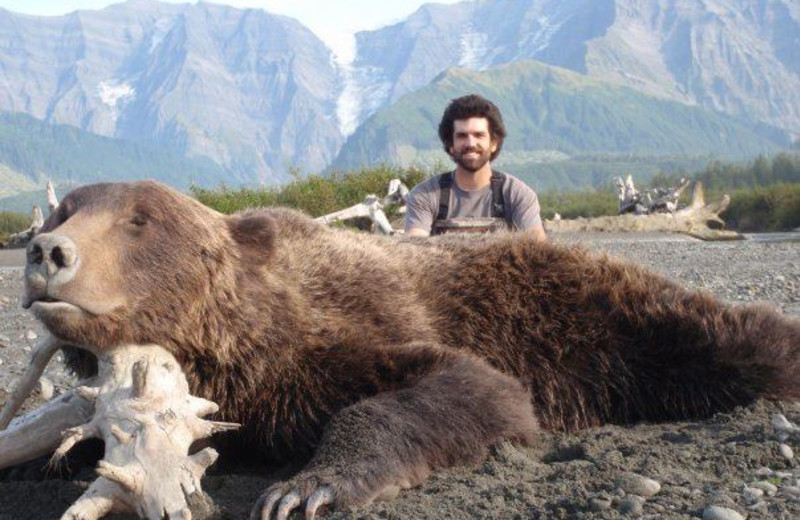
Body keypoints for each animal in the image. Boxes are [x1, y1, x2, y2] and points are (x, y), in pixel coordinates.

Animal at [21, 181, 796, 516]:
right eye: (66, 208)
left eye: (138, 219)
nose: (45, 250)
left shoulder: (329, 337)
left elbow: (472, 387)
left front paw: (309, 485)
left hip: (606, 315)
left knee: (730, 338)